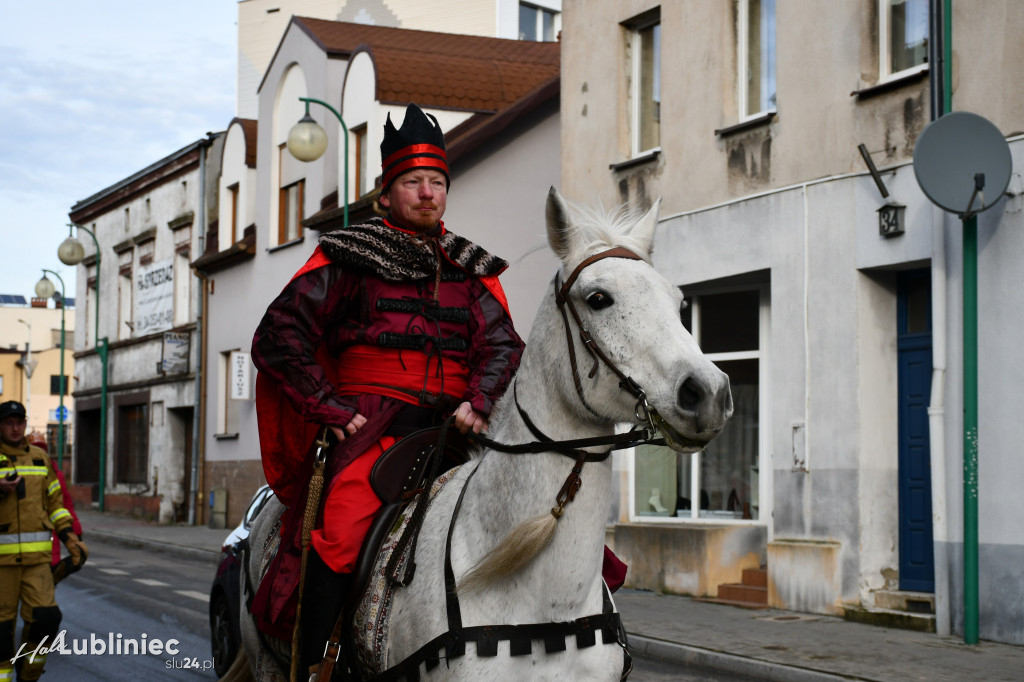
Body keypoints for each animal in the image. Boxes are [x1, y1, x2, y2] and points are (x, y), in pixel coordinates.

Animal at [230, 187, 737, 679]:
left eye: (677, 302)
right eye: (598, 298)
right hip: (267, 658)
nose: (708, 392)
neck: (549, 605)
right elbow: (279, 330)